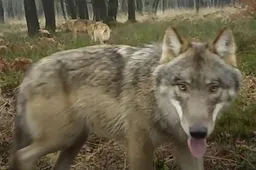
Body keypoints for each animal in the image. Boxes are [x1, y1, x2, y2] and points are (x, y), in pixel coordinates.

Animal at [9, 26, 242, 170]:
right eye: (182, 87)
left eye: (213, 88)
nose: (199, 132)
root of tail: (30, 72)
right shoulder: (139, 145)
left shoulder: (187, 147)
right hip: (63, 137)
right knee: (21, 156)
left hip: (75, 141)